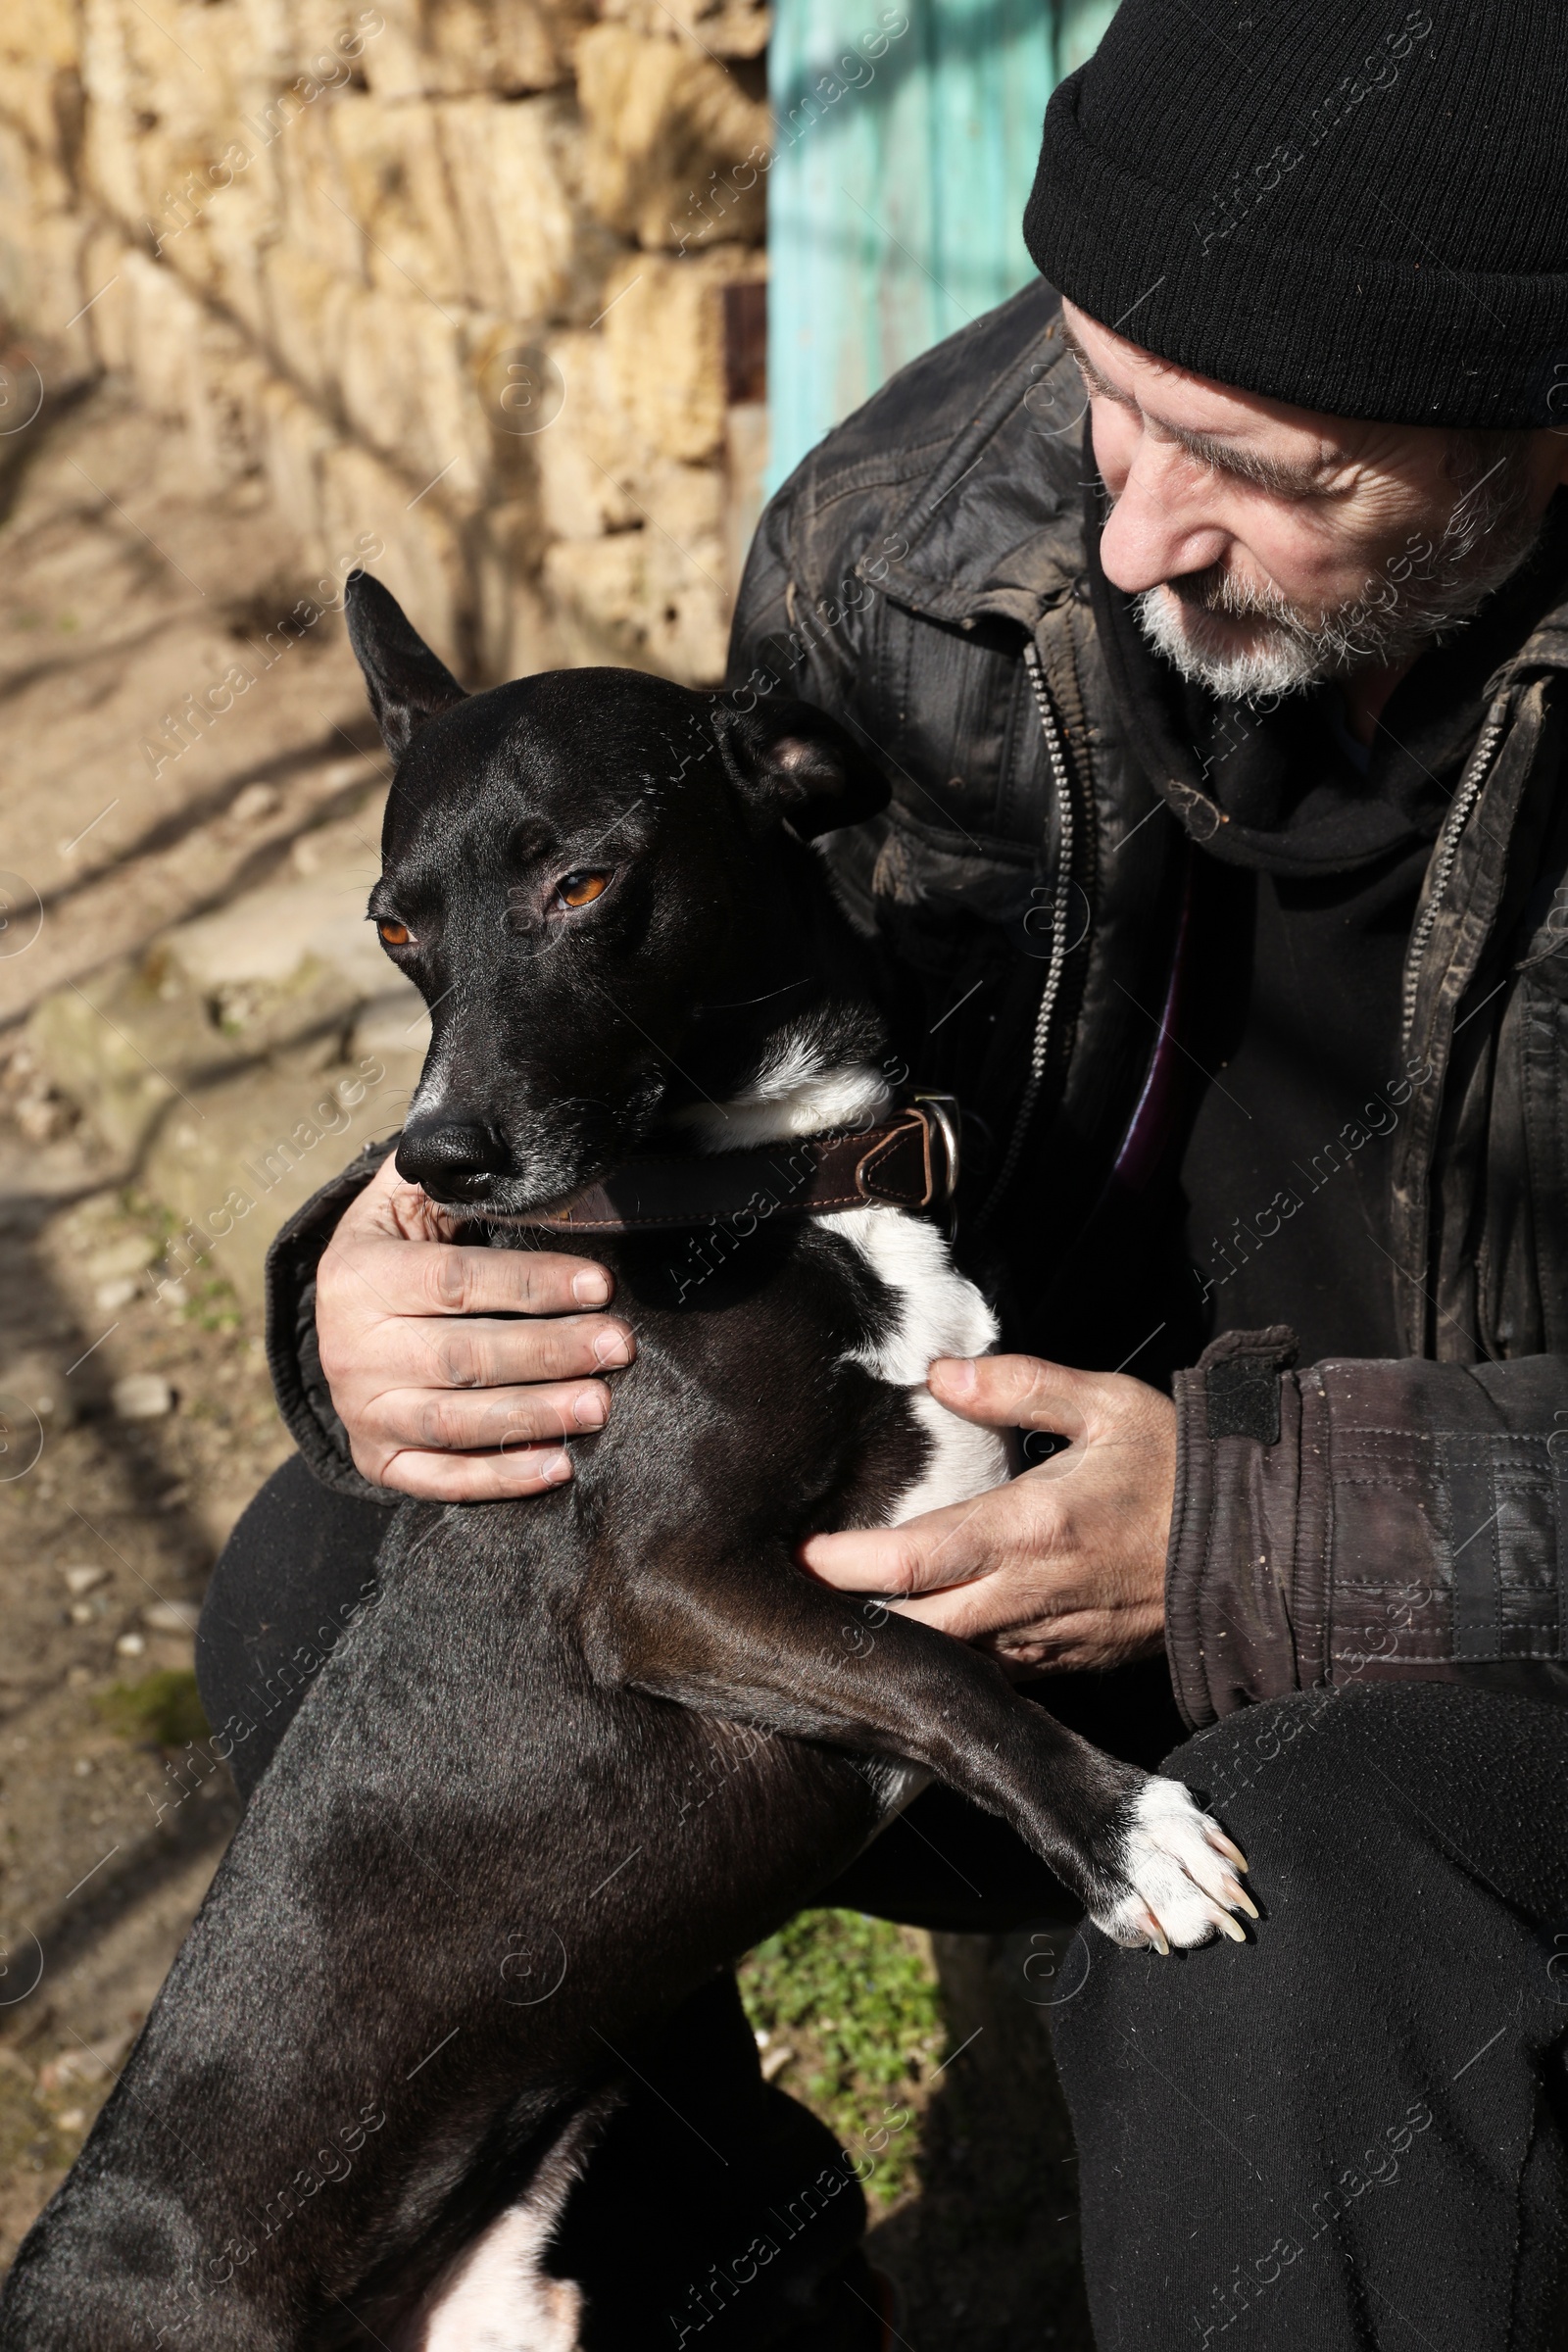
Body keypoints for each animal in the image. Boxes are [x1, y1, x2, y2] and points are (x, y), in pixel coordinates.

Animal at [0, 573, 1250, 2352]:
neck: (781, 1190)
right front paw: (1124, 1829)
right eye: (396, 928)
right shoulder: (666, 1590)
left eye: (582, 883)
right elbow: (927, 1668)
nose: (437, 1163)